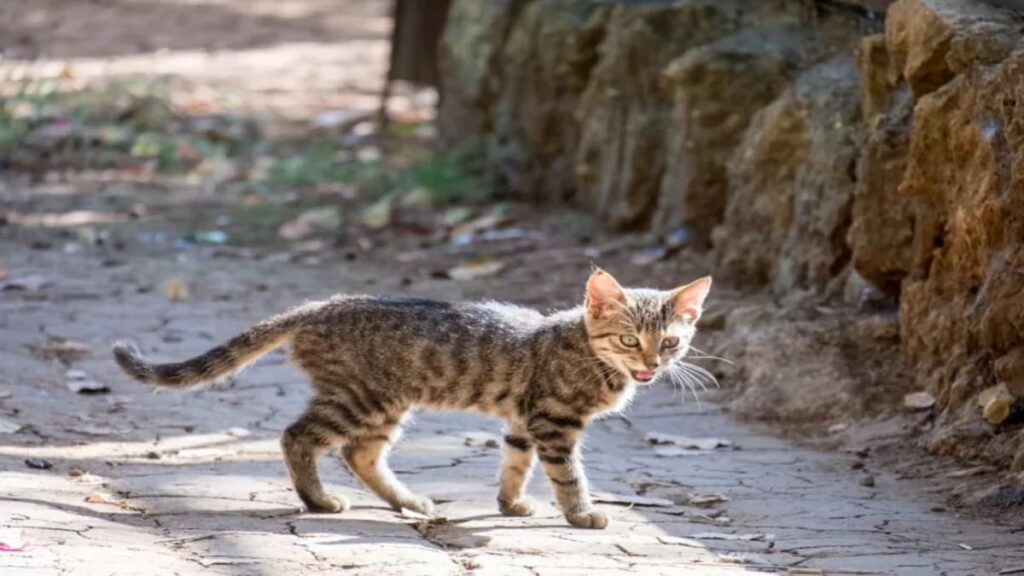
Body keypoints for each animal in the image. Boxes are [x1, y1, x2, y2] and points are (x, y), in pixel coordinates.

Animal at [110, 268, 704, 528]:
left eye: (670, 342)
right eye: (629, 340)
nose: (652, 366)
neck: (587, 350)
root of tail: (318, 306)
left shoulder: (523, 421)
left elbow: (516, 464)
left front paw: (510, 503)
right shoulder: (553, 422)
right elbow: (567, 475)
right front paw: (582, 514)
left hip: (383, 404)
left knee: (360, 453)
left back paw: (409, 502)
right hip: (362, 398)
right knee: (299, 437)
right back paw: (318, 501)